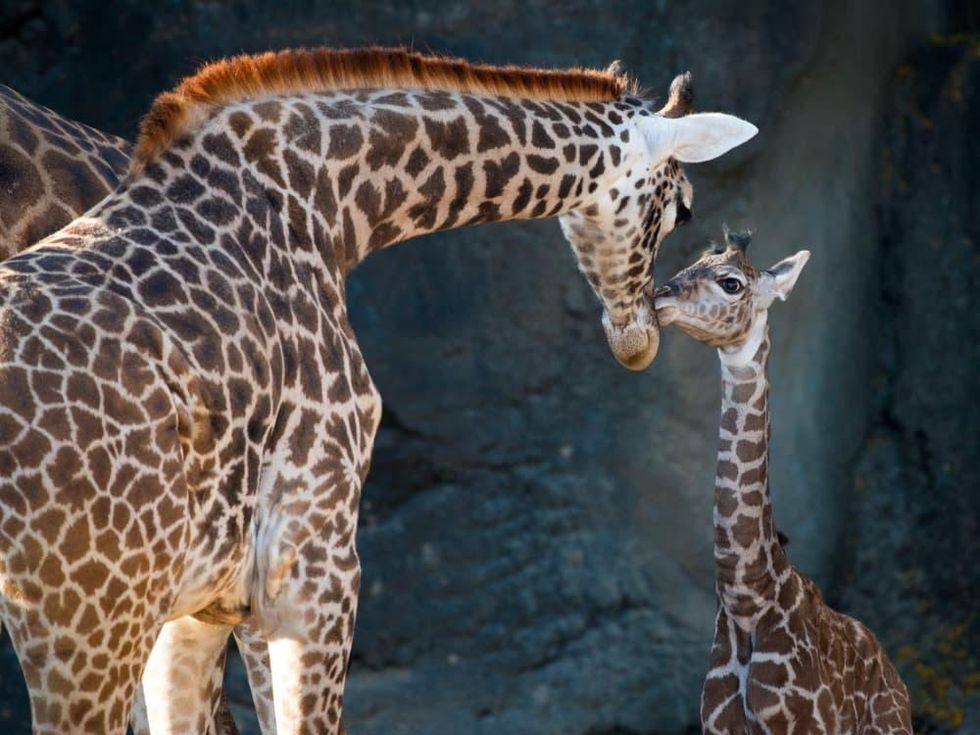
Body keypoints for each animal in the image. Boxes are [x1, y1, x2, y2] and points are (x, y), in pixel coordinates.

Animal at [0, 47, 757, 734]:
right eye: (683, 210)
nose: (638, 339)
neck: (328, 203)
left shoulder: (199, 605)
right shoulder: (313, 556)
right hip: (93, 614)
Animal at [654, 229, 912, 734]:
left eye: (731, 283)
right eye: (689, 264)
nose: (659, 297)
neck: (746, 596)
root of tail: (895, 677)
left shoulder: (807, 725)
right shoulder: (718, 726)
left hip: (890, 727)